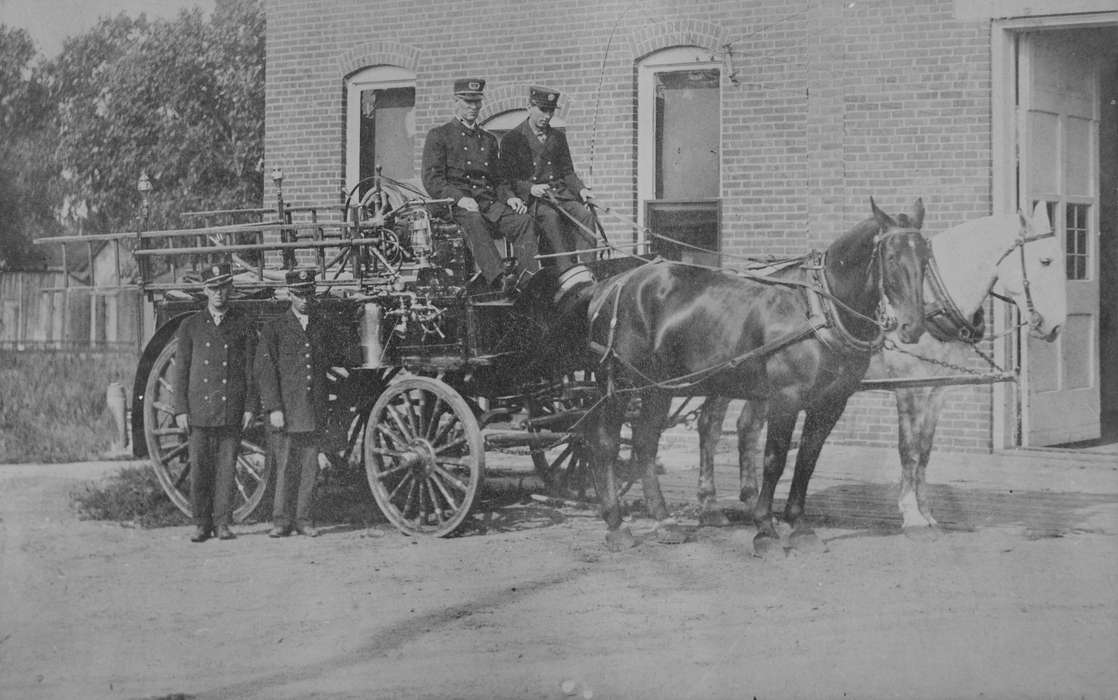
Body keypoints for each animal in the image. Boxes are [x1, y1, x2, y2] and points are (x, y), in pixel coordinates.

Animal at [581, 197, 930, 550]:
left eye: (925, 257)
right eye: (891, 257)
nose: (912, 327)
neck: (819, 309)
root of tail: (613, 285)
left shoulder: (831, 402)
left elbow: (806, 460)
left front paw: (799, 526)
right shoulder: (785, 398)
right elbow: (774, 460)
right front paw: (764, 527)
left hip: (658, 387)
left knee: (645, 443)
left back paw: (664, 521)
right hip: (621, 384)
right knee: (605, 442)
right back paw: (616, 523)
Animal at [697, 199, 1064, 536]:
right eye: (1044, 260)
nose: (1055, 326)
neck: (933, 298)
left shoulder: (937, 387)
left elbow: (925, 451)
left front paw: (927, 512)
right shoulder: (909, 387)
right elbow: (908, 449)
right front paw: (911, 514)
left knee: (746, 427)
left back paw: (750, 500)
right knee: (711, 426)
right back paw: (710, 505)